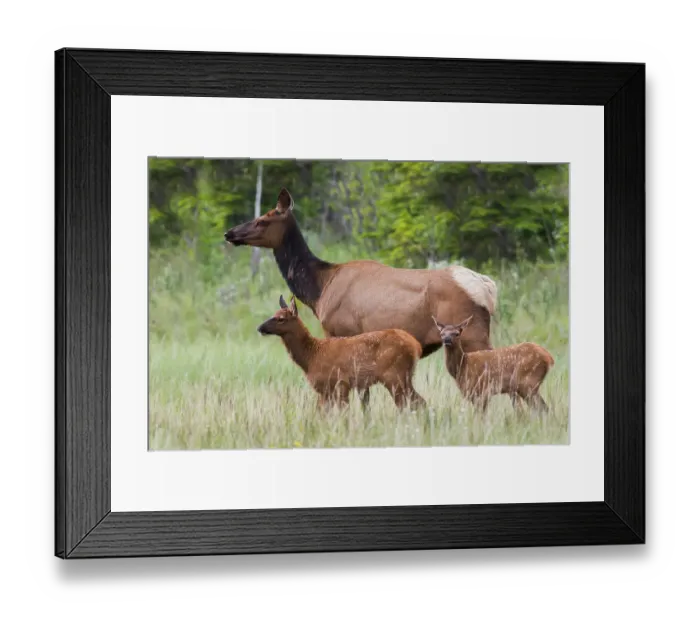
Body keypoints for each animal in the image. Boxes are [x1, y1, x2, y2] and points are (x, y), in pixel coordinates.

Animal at [257, 294, 427, 411]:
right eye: (274, 314)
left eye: (281, 318)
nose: (259, 328)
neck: (311, 357)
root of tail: (415, 345)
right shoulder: (325, 391)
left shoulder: (341, 382)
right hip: (403, 377)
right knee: (419, 402)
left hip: (394, 375)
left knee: (410, 404)